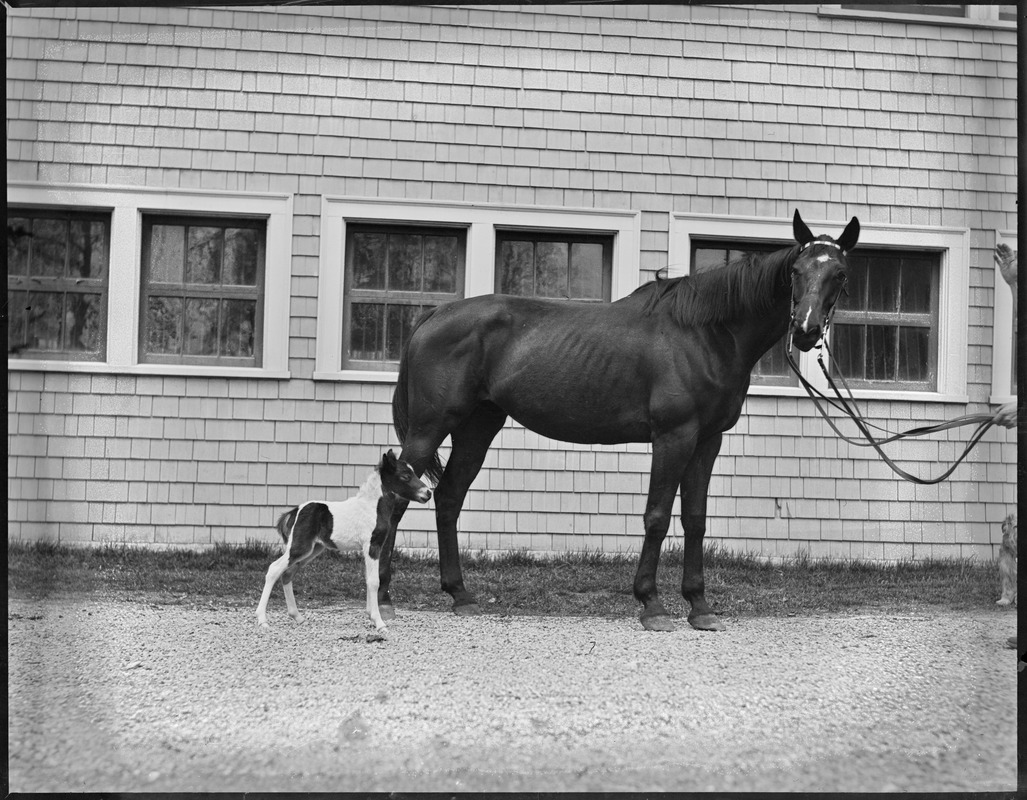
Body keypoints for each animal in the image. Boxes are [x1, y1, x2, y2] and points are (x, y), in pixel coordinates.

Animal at [260, 453, 433, 636]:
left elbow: (368, 579)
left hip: (312, 550)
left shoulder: (372, 548)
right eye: (405, 476)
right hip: (299, 547)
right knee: (274, 569)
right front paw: (379, 623)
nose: (428, 493)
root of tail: (295, 511)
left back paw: (297, 617)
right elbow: (374, 581)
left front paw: (371, 616)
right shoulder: (371, 546)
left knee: (287, 574)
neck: (372, 507)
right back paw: (262, 620)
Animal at [377, 208, 858, 632]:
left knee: (448, 498)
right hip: (429, 428)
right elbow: (658, 516)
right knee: (395, 499)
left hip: (477, 426)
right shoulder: (674, 436)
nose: (806, 331)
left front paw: (699, 607)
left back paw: (460, 595)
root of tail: (434, 315)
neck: (705, 333)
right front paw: (652, 605)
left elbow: (695, 518)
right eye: (795, 270)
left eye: (840, 274)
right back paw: (383, 597)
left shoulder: (707, 440)